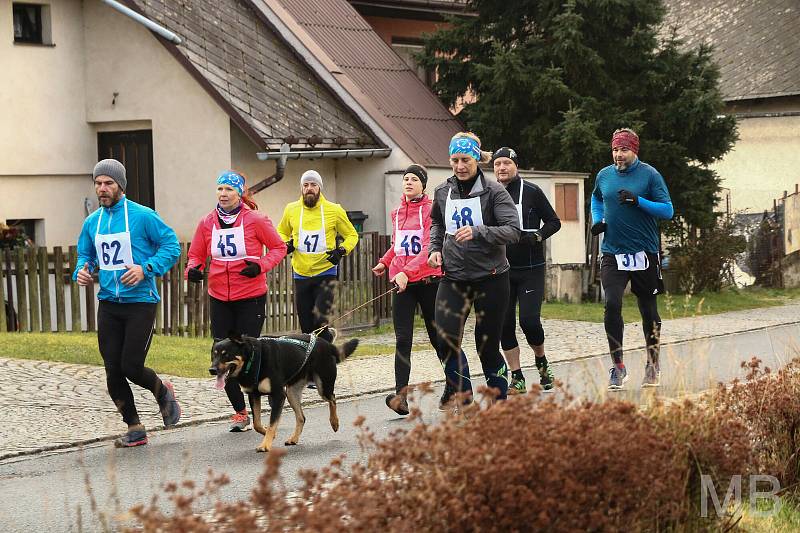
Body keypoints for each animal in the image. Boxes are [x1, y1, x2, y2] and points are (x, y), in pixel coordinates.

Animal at [209, 330, 356, 450]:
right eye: (213, 355)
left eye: (226, 355)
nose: (211, 370)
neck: (253, 359)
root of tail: (325, 343)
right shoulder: (254, 395)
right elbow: (257, 424)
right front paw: (268, 433)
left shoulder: (278, 395)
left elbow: (272, 422)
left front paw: (265, 445)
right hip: (291, 393)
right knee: (302, 417)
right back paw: (294, 439)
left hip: (322, 386)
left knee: (332, 398)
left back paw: (334, 422)